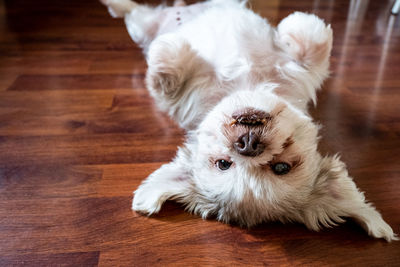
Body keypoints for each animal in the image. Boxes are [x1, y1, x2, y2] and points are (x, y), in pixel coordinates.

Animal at [101, 0, 396, 243]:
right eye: (223, 164)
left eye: (281, 168)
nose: (248, 144)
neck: (248, 85)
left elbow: (313, 42)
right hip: (143, 25)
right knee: (130, 11)